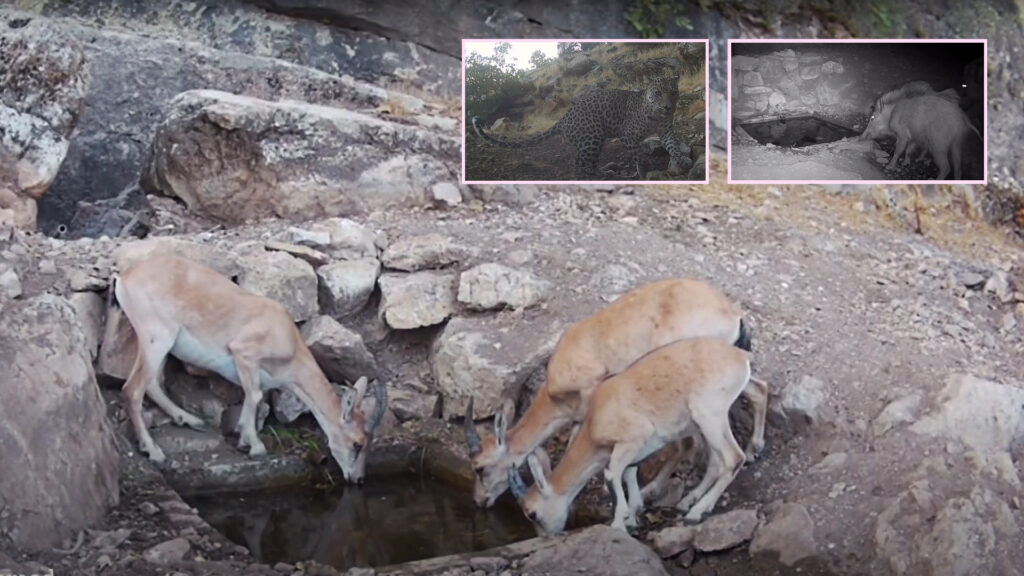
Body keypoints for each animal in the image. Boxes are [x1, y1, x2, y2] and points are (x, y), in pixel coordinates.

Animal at [110, 253, 385, 481]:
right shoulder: (244, 354)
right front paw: (256, 447)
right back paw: (153, 450)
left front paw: (244, 440)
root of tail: (125, 278)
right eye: (357, 443)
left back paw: (188, 419)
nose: (358, 479)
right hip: (156, 337)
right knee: (132, 389)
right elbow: (255, 396)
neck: (287, 341)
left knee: (153, 384)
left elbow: (252, 397)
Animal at [466, 278, 770, 506]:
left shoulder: (593, 391)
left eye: (480, 467)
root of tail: (734, 316)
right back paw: (753, 449)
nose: (479, 501)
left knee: (693, 443)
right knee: (758, 389)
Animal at [471, 76, 688, 178]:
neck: (656, 116)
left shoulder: (666, 131)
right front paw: (644, 171)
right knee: (579, 161)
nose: (668, 107)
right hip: (593, 136)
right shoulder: (627, 134)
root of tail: (563, 118)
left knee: (588, 161)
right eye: (658, 93)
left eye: (673, 92)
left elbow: (673, 146)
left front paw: (680, 162)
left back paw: (603, 172)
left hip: (595, 141)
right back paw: (598, 175)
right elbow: (638, 156)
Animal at [507, 334, 757, 532]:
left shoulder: (634, 436)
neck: (597, 417)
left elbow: (611, 473)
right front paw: (634, 515)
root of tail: (741, 357)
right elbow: (628, 471)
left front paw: (619, 523)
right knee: (716, 462)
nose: (547, 536)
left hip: (709, 415)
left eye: (532, 514)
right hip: (705, 424)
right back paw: (687, 502)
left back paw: (696, 513)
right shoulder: (636, 447)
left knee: (734, 458)